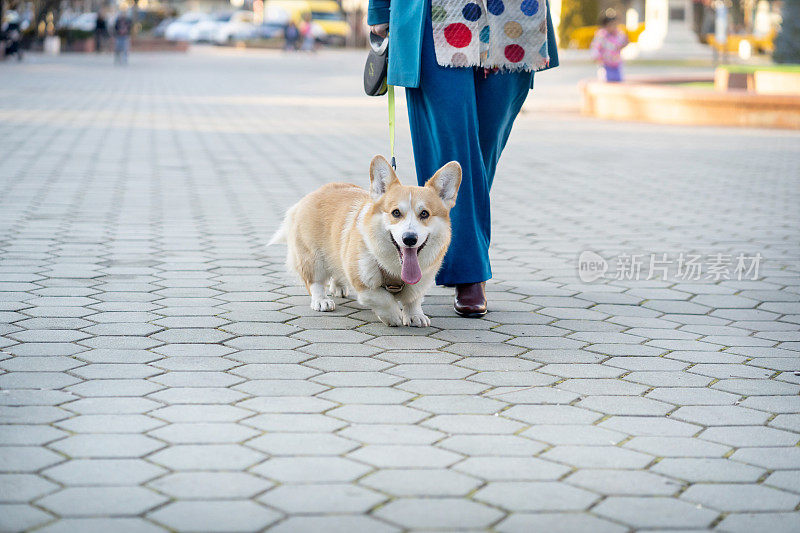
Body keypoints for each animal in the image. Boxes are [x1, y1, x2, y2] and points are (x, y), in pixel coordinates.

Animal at [268, 154, 460, 326]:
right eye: (396, 212)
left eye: (425, 214)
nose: (409, 239)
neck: (395, 269)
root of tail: (313, 194)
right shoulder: (363, 281)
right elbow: (381, 298)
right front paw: (393, 316)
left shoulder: (421, 281)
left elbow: (413, 299)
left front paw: (414, 315)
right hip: (313, 258)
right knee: (314, 281)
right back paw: (321, 300)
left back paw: (338, 286)